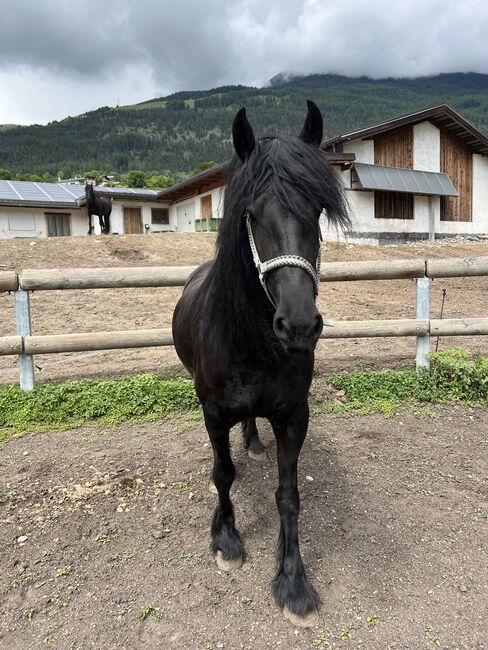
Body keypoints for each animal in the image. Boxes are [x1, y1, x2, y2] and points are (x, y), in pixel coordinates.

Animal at [173, 100, 348, 624]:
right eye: (250, 214)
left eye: (318, 210)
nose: (298, 325)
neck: (252, 343)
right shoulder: (212, 412)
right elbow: (222, 474)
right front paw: (225, 538)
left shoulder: (293, 416)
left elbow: (288, 496)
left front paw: (293, 580)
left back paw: (252, 441)